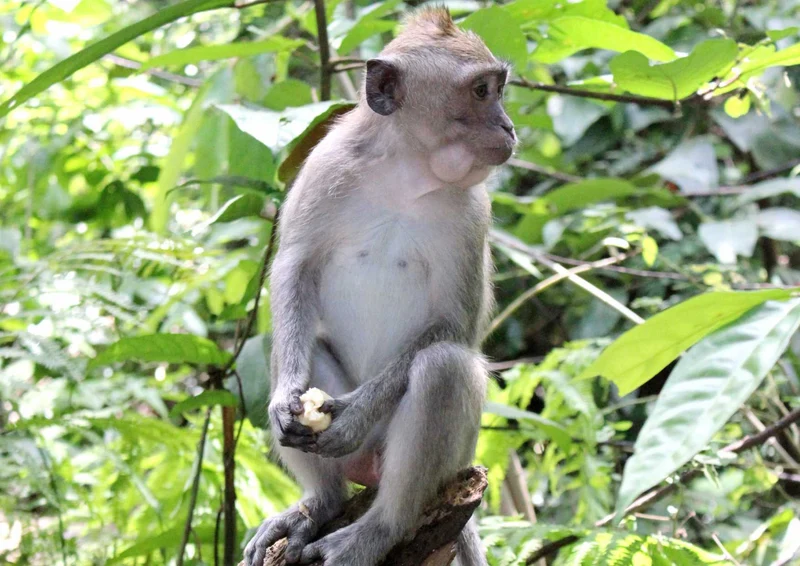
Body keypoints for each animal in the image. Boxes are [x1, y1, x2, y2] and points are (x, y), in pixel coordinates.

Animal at [244, 7, 515, 566]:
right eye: (482, 91)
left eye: (497, 89)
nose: (508, 126)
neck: (407, 173)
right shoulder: (326, 165)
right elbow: (294, 268)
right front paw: (285, 398)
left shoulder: (473, 213)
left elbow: (454, 325)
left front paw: (353, 417)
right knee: (288, 348)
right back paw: (320, 505)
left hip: (451, 456)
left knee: (443, 369)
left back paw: (378, 529)